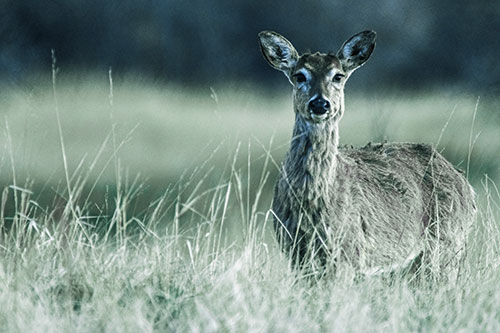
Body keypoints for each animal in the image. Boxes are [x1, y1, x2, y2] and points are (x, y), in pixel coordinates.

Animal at [258, 30, 476, 280]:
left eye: (338, 76)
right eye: (299, 76)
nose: (320, 103)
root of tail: (467, 187)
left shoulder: (349, 253)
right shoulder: (295, 253)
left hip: (447, 246)